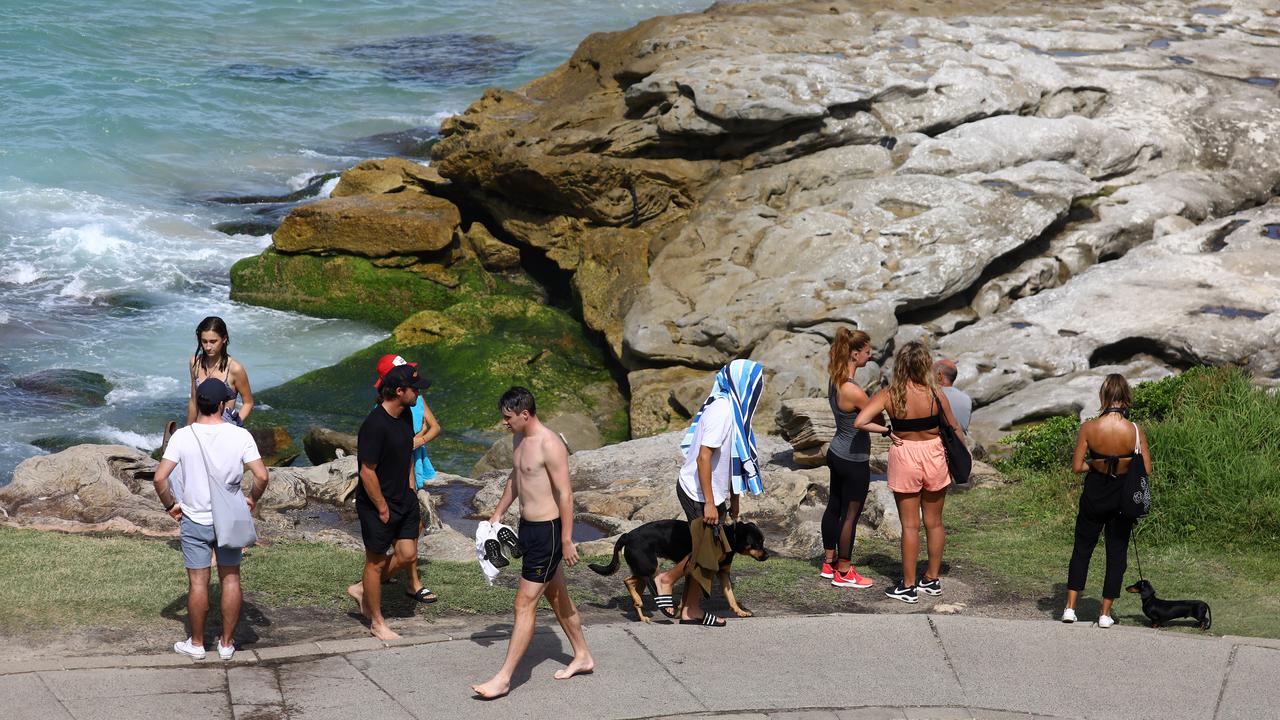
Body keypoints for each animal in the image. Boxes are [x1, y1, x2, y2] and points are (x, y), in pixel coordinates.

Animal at [591, 517, 768, 620]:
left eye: (763, 541)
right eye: (757, 543)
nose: (767, 556)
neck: (727, 537)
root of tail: (627, 535)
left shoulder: (723, 573)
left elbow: (730, 596)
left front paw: (740, 612)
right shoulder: (691, 569)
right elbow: (686, 596)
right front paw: (681, 613)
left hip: (645, 569)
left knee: (633, 586)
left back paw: (641, 613)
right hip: (650, 567)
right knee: (627, 580)